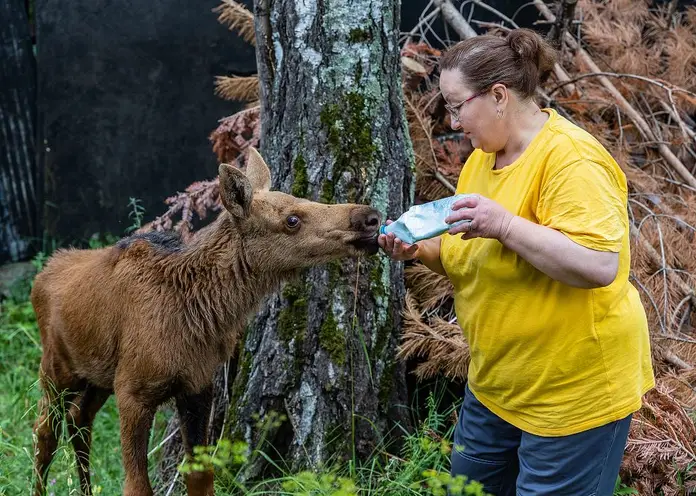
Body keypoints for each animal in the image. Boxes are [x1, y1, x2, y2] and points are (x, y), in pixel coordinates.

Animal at [31, 148, 380, 496]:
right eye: (292, 219)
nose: (370, 216)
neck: (201, 315)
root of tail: (42, 274)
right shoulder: (133, 390)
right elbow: (137, 484)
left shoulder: (197, 387)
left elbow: (200, 475)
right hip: (56, 370)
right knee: (44, 432)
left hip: (95, 378)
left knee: (78, 421)